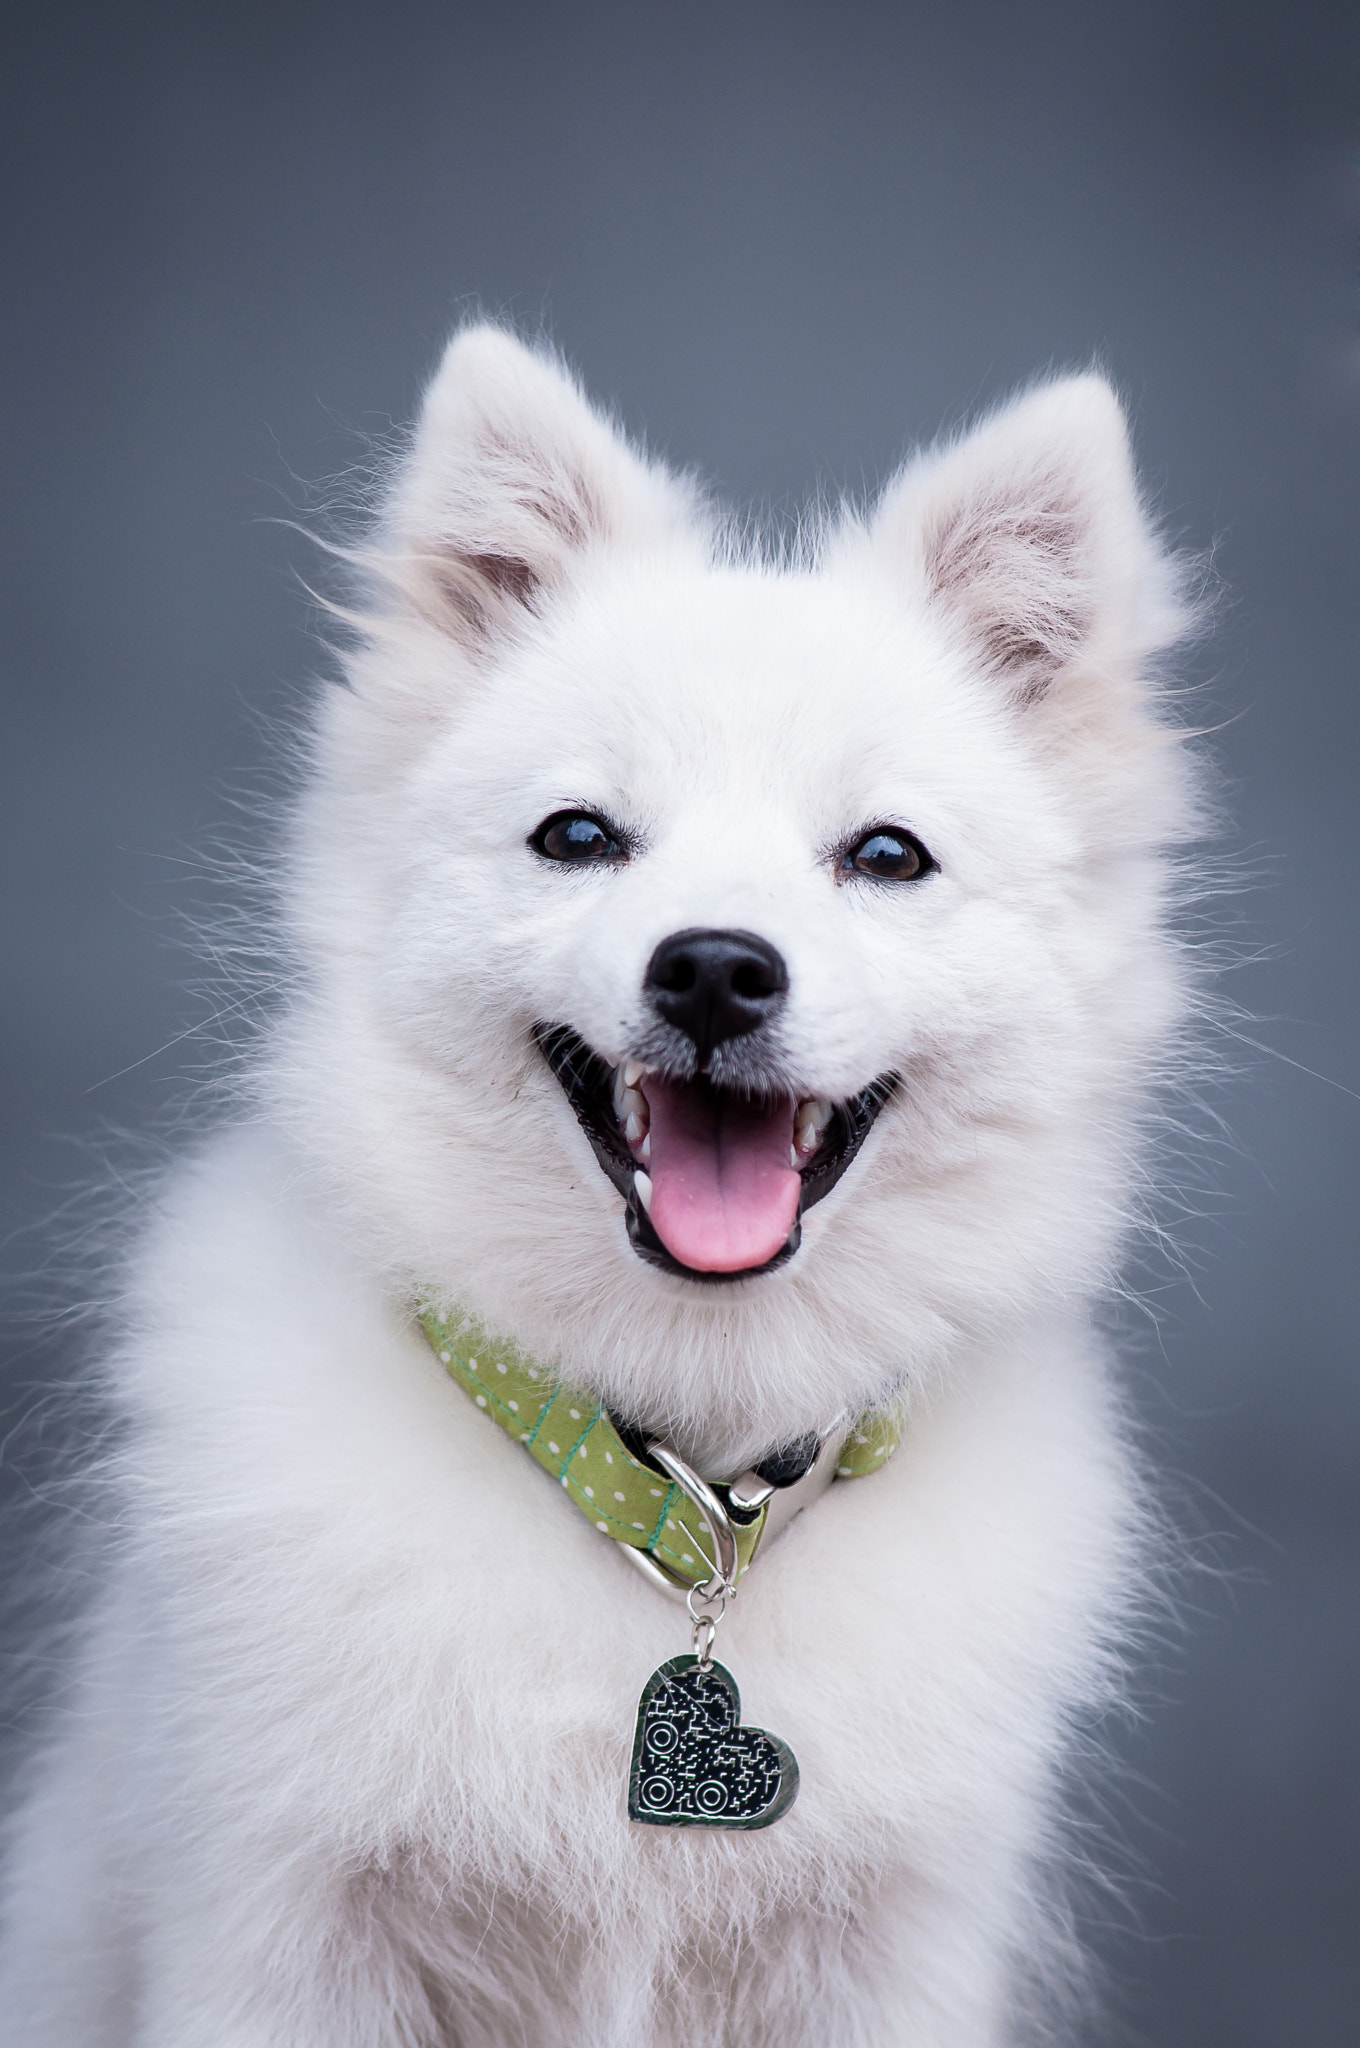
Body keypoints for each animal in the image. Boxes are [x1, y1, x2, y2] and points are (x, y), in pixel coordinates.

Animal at [0, 327, 1196, 2039]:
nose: (713, 969)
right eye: (578, 836)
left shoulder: (891, 1957)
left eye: (886, 857)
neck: (682, 1493)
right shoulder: (280, 1931)